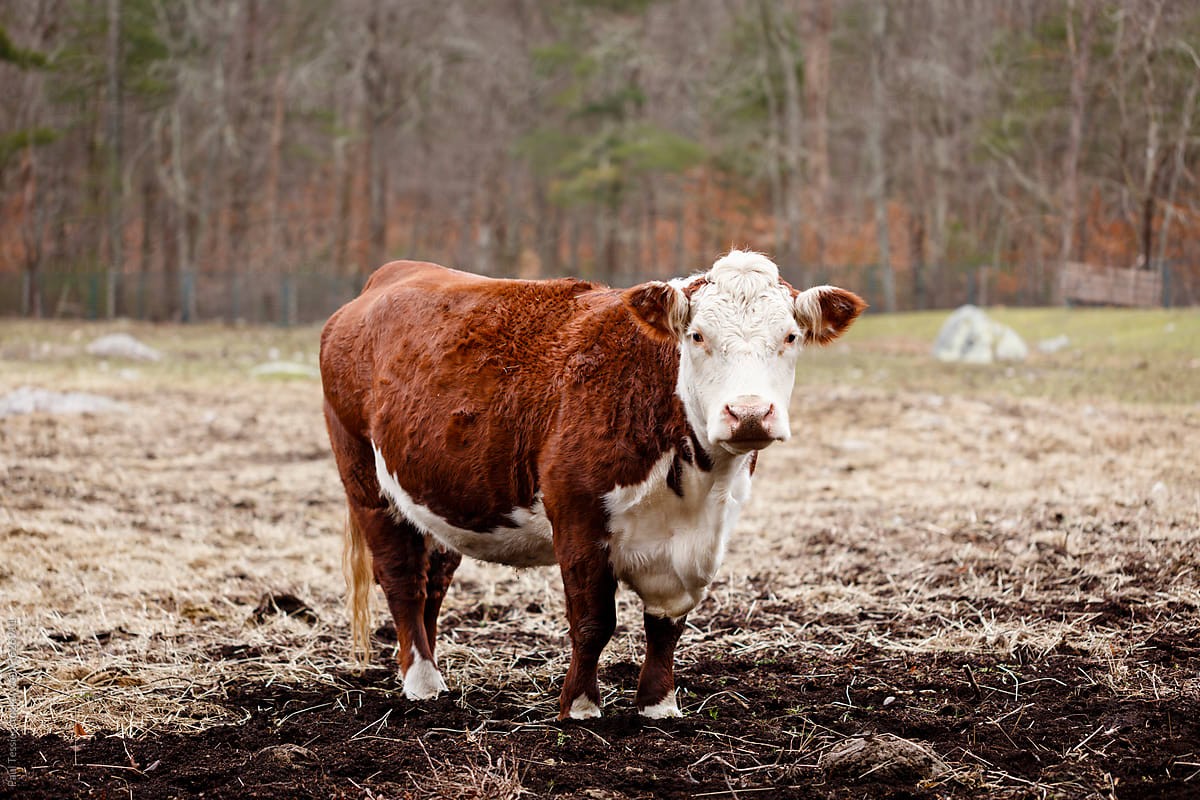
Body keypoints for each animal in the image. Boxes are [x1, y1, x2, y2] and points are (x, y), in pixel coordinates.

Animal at [319, 250, 864, 719]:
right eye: (697, 336)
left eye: (790, 336)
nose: (749, 413)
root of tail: (390, 275)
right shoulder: (577, 516)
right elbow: (593, 620)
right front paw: (580, 707)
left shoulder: (704, 536)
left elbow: (667, 624)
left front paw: (658, 705)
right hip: (365, 481)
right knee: (402, 579)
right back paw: (422, 682)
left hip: (437, 499)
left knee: (433, 581)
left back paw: (424, 670)